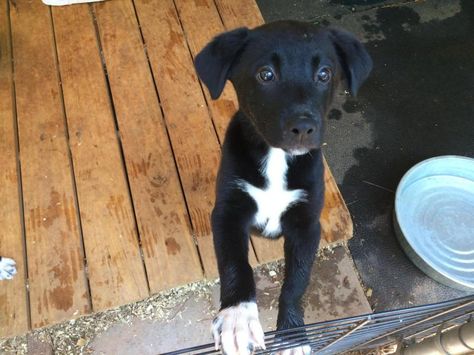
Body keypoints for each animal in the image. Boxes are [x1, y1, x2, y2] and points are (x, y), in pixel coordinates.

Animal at [194, 20, 372, 354]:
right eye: (266, 74)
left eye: (324, 74)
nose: (303, 128)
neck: (277, 158)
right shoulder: (227, 211)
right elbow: (236, 264)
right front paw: (238, 317)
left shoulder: (307, 224)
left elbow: (297, 280)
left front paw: (292, 336)